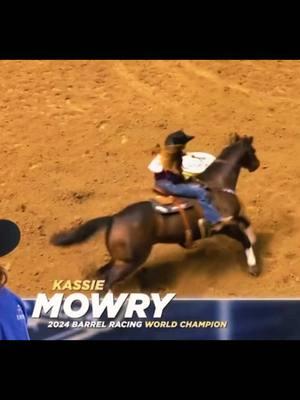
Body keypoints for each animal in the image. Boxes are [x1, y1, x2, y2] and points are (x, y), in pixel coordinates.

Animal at [49, 134, 260, 290]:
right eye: (253, 151)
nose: (257, 164)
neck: (216, 184)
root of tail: (113, 219)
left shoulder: (234, 219)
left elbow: (247, 223)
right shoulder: (223, 226)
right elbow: (245, 240)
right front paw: (253, 267)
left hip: (120, 258)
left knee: (102, 274)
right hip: (129, 262)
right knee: (108, 281)